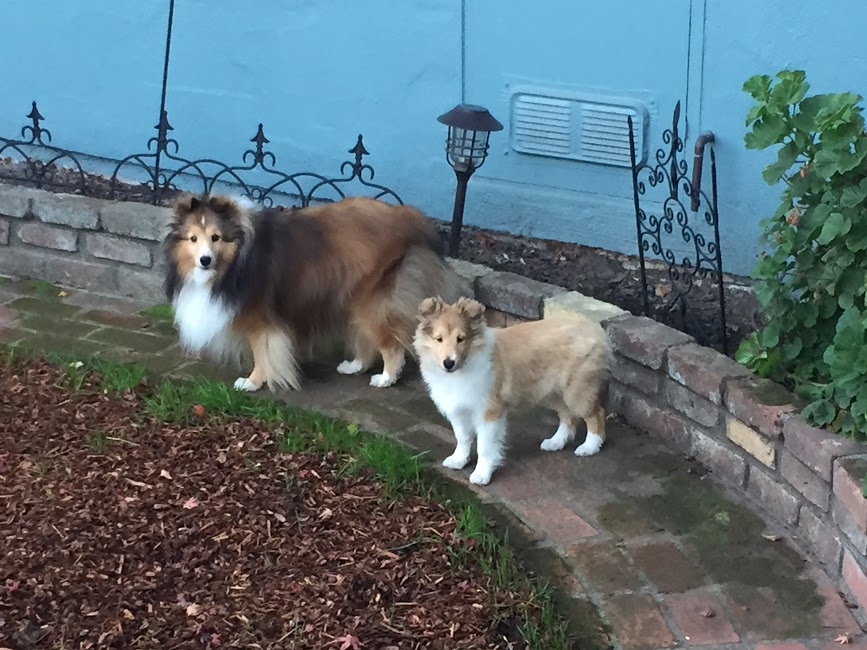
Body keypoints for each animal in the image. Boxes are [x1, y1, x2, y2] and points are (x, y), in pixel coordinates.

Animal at [162, 193, 469, 392]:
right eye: (193, 238)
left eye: (216, 237)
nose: (205, 260)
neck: (238, 259)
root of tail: (412, 218)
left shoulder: (262, 318)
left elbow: (263, 352)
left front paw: (252, 382)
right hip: (352, 297)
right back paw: (354, 366)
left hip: (373, 299)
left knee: (390, 344)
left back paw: (385, 379)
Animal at [413, 297, 610, 485]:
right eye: (438, 339)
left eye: (461, 339)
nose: (448, 363)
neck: (465, 364)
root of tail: (590, 325)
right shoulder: (457, 409)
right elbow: (462, 437)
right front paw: (458, 460)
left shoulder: (489, 412)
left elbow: (485, 447)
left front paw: (481, 474)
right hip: (553, 392)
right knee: (567, 415)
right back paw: (556, 442)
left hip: (576, 390)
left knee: (596, 414)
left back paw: (589, 447)